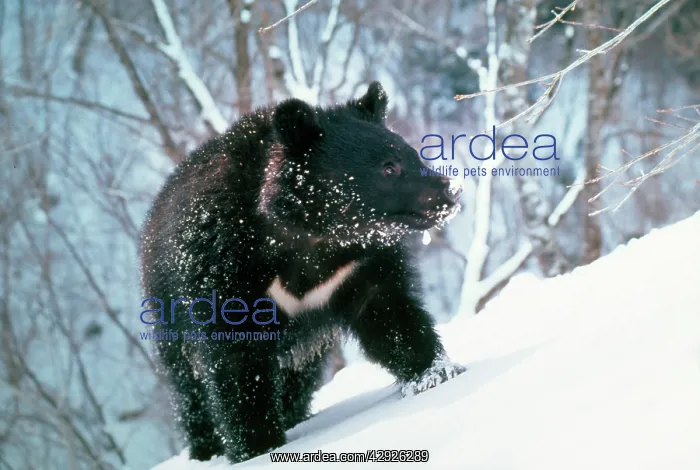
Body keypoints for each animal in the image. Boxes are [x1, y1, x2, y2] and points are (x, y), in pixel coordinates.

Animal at [139, 82, 465, 464]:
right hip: (167, 313)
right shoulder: (221, 269)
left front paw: (436, 373)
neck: (309, 237)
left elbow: (391, 314)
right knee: (187, 386)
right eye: (389, 168)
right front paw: (257, 447)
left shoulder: (357, 266)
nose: (452, 191)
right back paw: (205, 447)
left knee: (297, 376)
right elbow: (236, 363)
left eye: (414, 155)